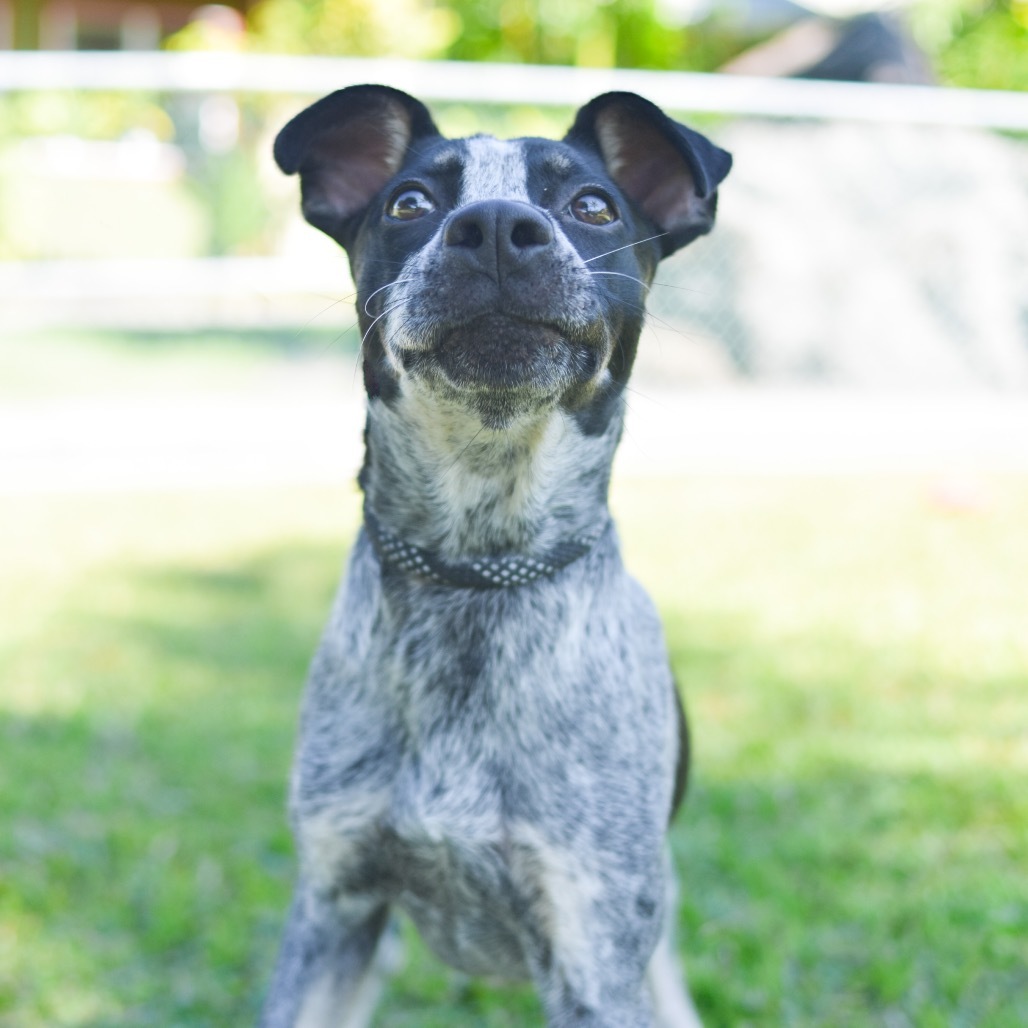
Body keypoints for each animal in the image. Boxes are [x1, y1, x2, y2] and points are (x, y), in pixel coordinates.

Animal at [263, 88, 731, 1028]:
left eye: (592, 205)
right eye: (410, 202)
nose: (494, 228)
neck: (476, 573)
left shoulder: (594, 956)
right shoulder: (333, 910)